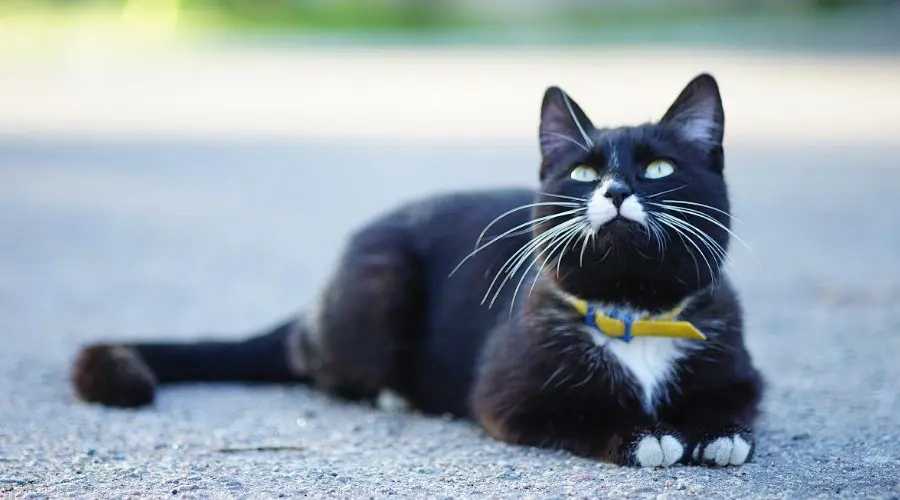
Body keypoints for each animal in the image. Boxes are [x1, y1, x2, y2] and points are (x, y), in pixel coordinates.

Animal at [70, 74, 764, 468]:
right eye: (585, 172)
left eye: (658, 168)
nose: (617, 190)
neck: (635, 315)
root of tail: (312, 305)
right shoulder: (505, 395)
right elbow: (576, 415)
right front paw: (643, 436)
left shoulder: (740, 368)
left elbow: (735, 404)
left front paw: (716, 434)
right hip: (379, 283)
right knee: (321, 370)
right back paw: (391, 392)